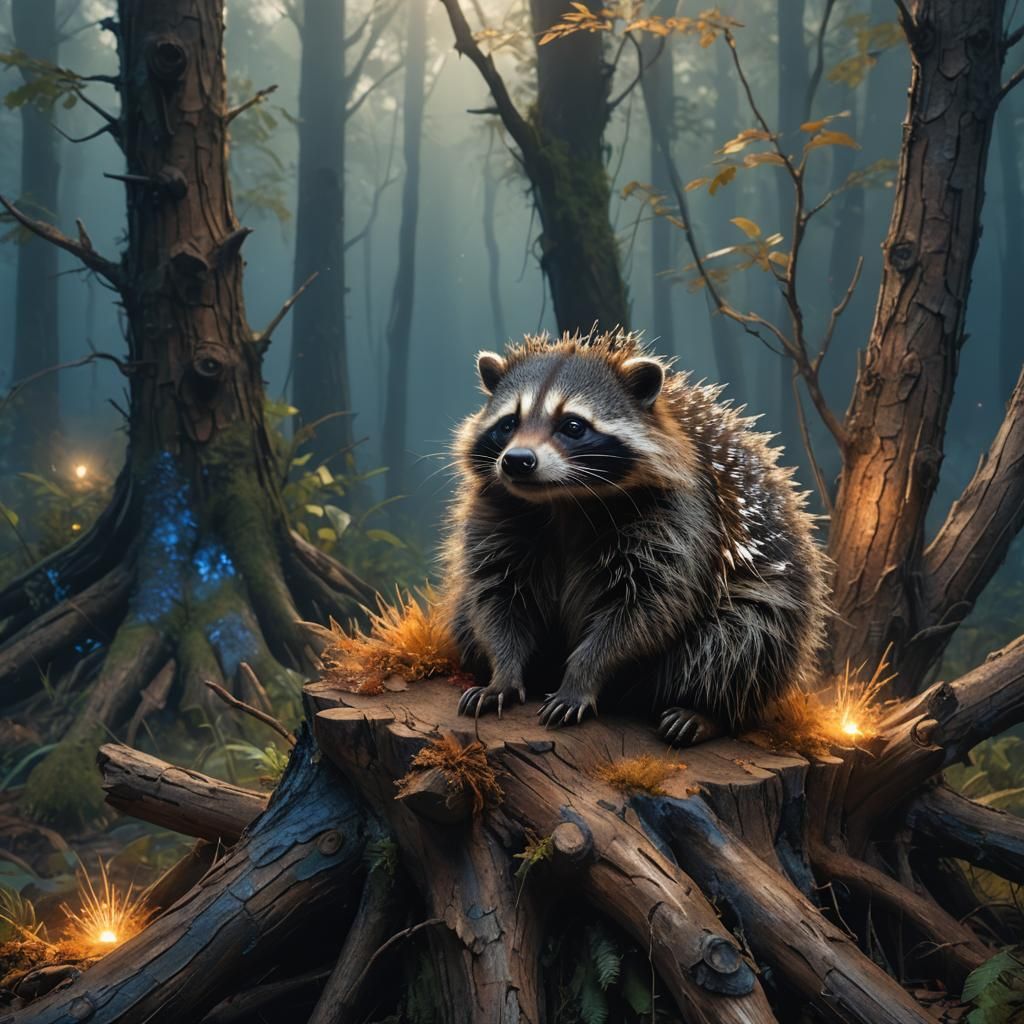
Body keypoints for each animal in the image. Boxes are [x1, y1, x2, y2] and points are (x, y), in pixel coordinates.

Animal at [443, 330, 829, 747]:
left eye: (573, 426)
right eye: (508, 423)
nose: (517, 461)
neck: (562, 500)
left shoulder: (684, 515)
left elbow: (644, 610)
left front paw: (582, 676)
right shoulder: (498, 510)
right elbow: (496, 595)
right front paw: (504, 671)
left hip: (778, 606)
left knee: (743, 638)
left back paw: (709, 713)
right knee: (465, 617)